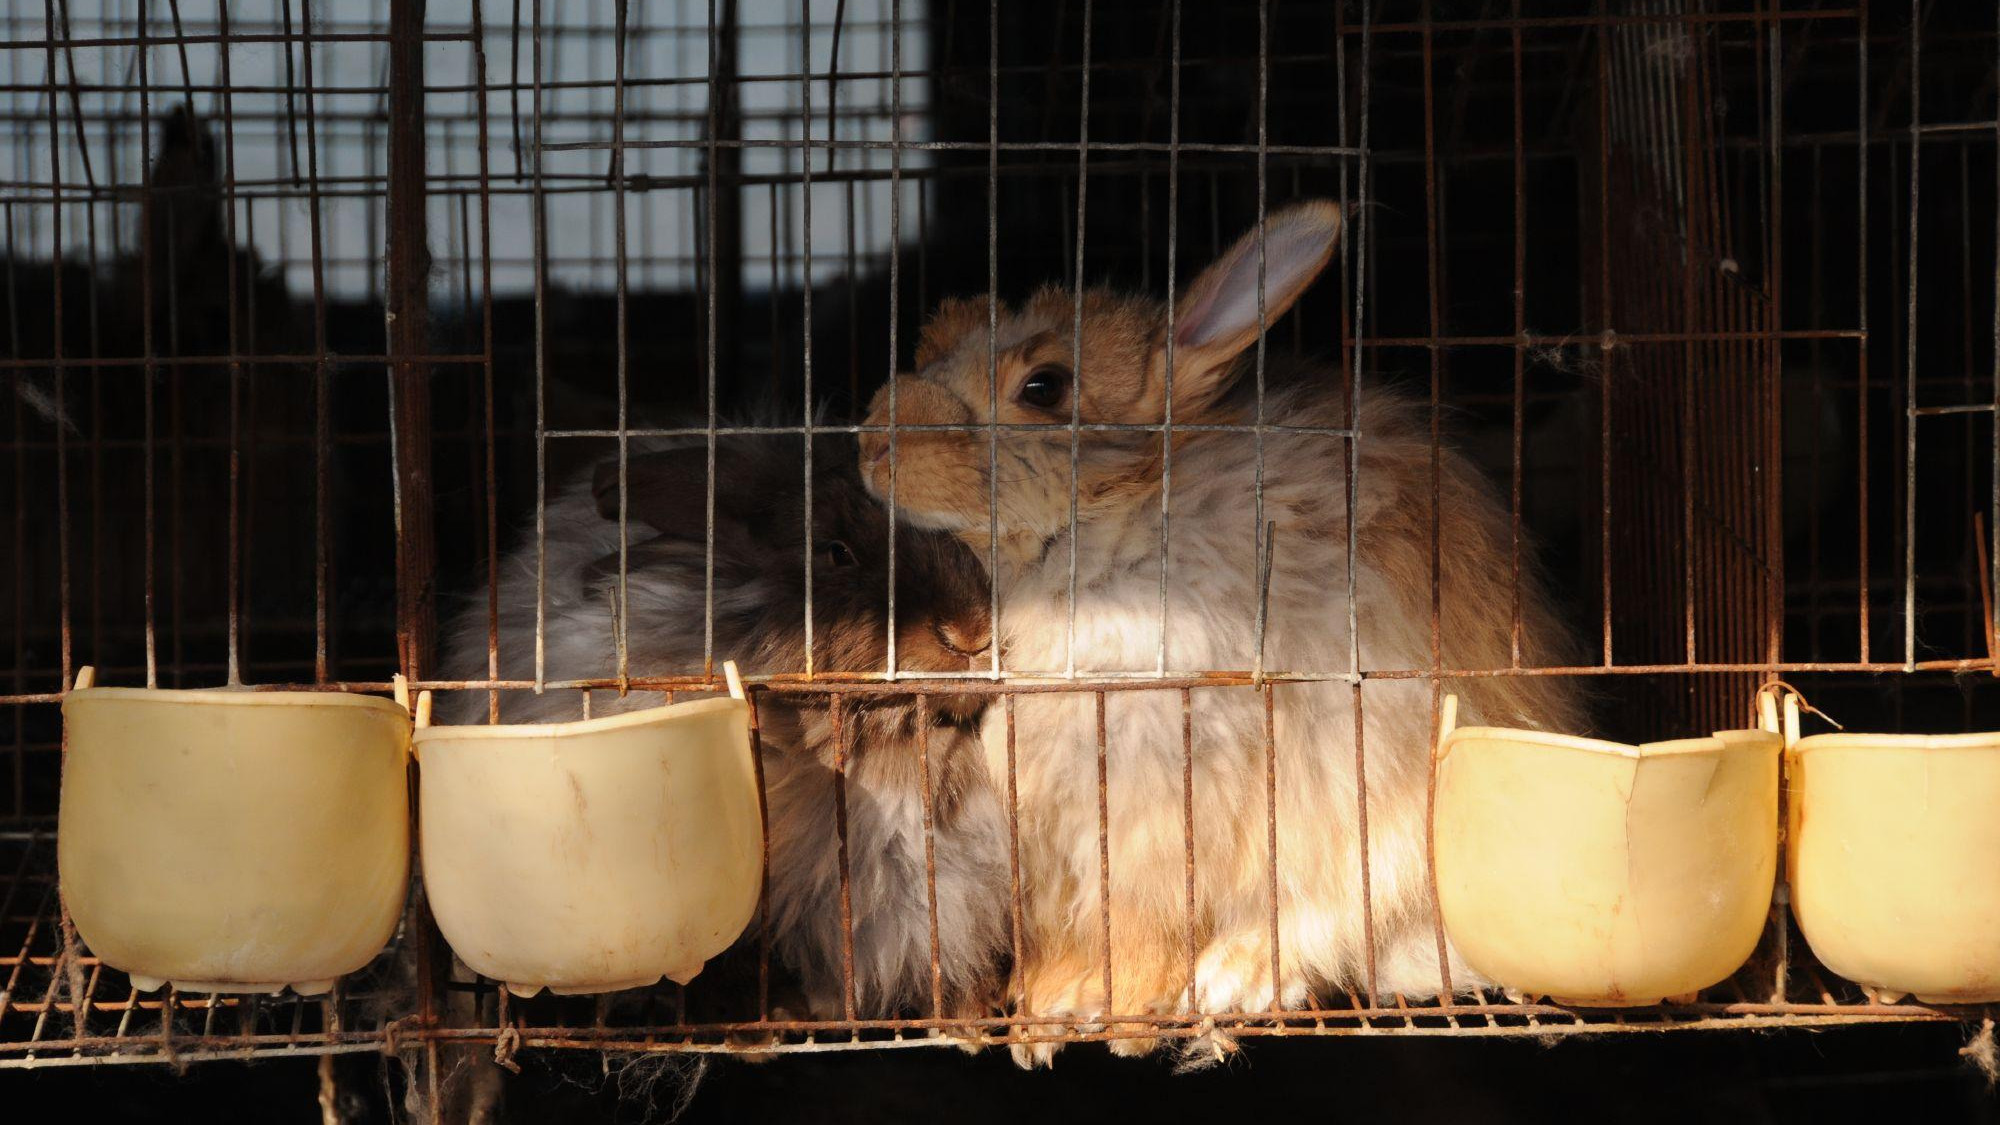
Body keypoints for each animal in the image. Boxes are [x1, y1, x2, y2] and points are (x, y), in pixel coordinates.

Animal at [855, 199, 1588, 1066]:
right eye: (932, 343)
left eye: (1044, 386)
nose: (870, 443)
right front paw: (1039, 1015)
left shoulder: (1157, 806)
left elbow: (1142, 927)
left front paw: (1107, 1014)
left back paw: (1233, 979)